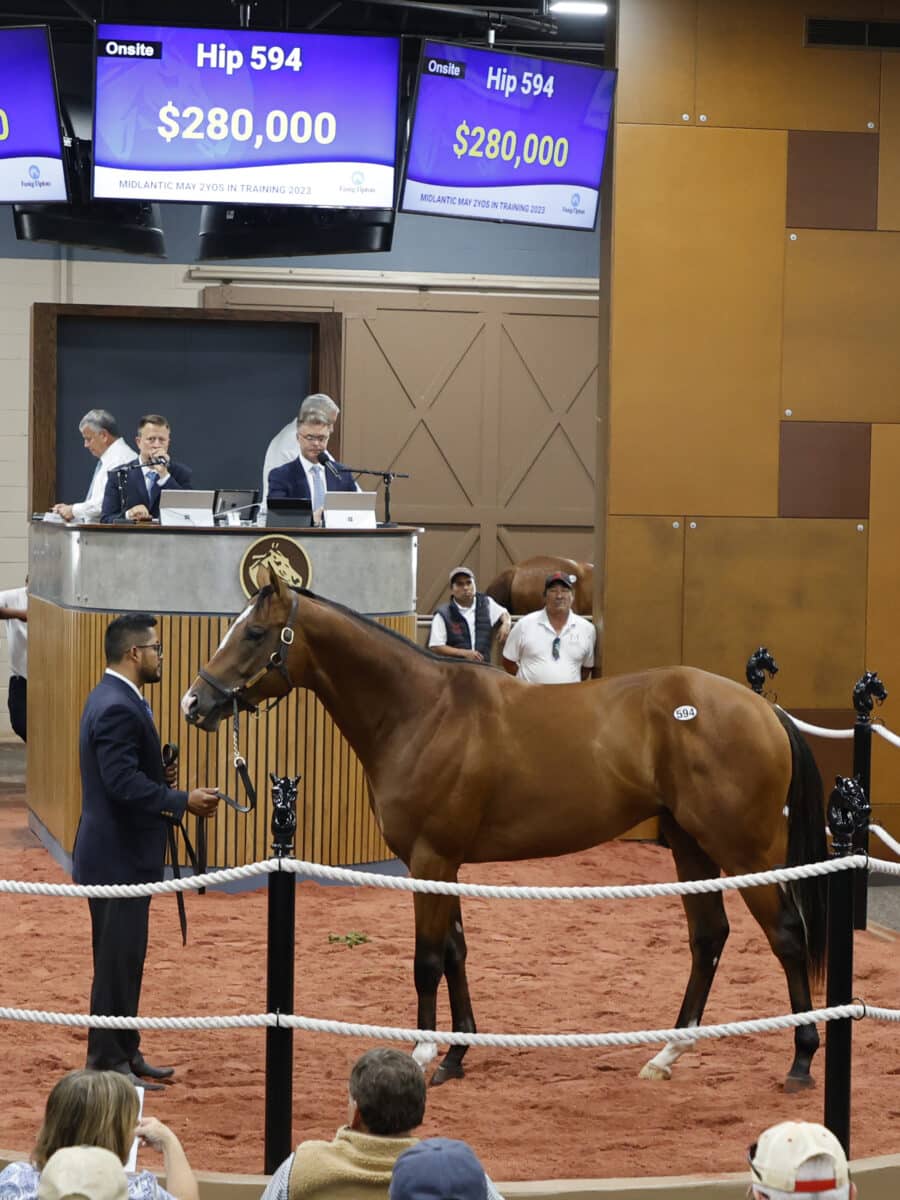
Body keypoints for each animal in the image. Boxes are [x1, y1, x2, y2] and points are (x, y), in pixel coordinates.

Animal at [183, 568, 830, 1089]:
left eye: (255, 634)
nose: (194, 703)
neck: (422, 711)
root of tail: (762, 708)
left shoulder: (431, 859)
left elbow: (427, 959)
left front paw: (422, 1054)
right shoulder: (443, 864)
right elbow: (456, 952)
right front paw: (456, 1056)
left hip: (746, 851)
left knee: (786, 935)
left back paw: (801, 1060)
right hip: (690, 845)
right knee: (709, 937)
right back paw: (667, 1055)